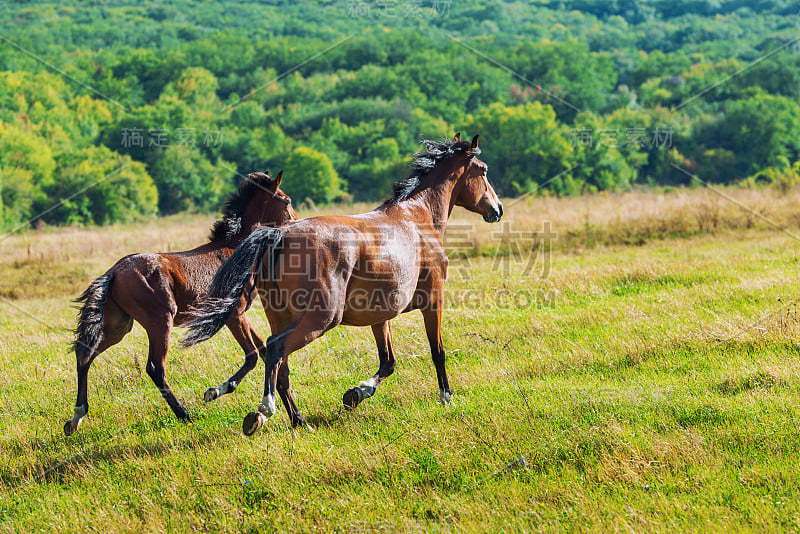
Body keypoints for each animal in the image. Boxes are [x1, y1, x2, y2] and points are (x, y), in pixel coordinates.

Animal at [64, 172, 296, 436]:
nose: (295, 223)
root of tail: (113, 272)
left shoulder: (237, 316)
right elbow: (253, 355)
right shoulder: (235, 314)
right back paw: (185, 415)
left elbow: (267, 352)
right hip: (160, 321)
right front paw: (214, 392)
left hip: (118, 326)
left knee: (85, 355)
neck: (233, 248)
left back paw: (76, 418)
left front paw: (294, 416)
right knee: (155, 367)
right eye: (286, 200)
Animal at [184, 134, 504, 436]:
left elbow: (388, 361)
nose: (498, 208)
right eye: (483, 170)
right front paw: (447, 398)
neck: (417, 217)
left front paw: (356, 394)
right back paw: (263, 411)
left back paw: (296, 421)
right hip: (321, 318)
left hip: (282, 316)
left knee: (278, 362)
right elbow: (438, 352)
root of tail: (280, 235)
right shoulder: (433, 301)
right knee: (275, 349)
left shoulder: (380, 316)